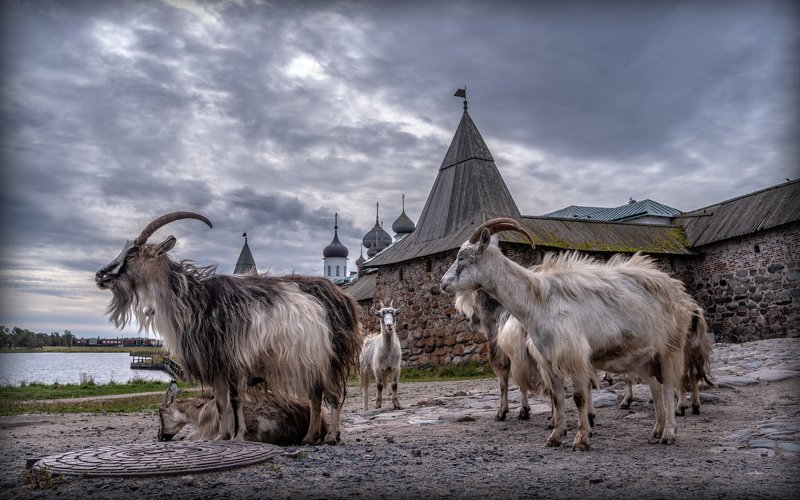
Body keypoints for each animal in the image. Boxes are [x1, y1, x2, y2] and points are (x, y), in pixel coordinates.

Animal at [441, 218, 692, 450]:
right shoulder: (548, 359)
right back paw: (657, 430)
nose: (443, 283)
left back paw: (669, 433)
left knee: (669, 387)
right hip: (646, 356)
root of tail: (675, 288)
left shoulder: (574, 356)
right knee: (656, 388)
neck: (539, 301)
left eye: (461, 256)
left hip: (670, 347)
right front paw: (555, 436)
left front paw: (581, 439)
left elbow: (579, 397)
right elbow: (557, 396)